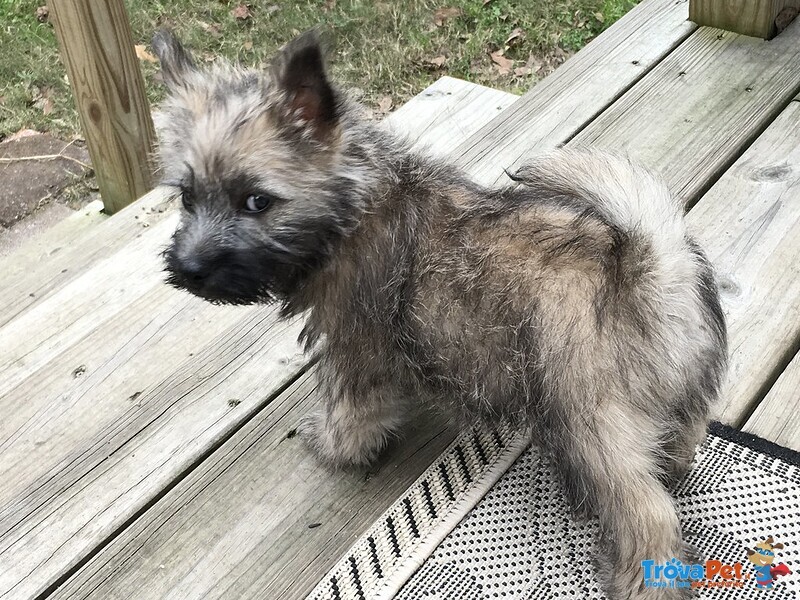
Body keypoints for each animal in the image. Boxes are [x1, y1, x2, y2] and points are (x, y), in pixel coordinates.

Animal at [153, 29, 728, 600]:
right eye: (187, 196)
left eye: (257, 201)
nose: (188, 269)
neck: (357, 202)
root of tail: (651, 267)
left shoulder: (355, 351)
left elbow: (350, 410)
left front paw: (336, 446)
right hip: (672, 397)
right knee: (680, 441)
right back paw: (673, 470)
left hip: (588, 422)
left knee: (646, 513)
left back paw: (639, 581)